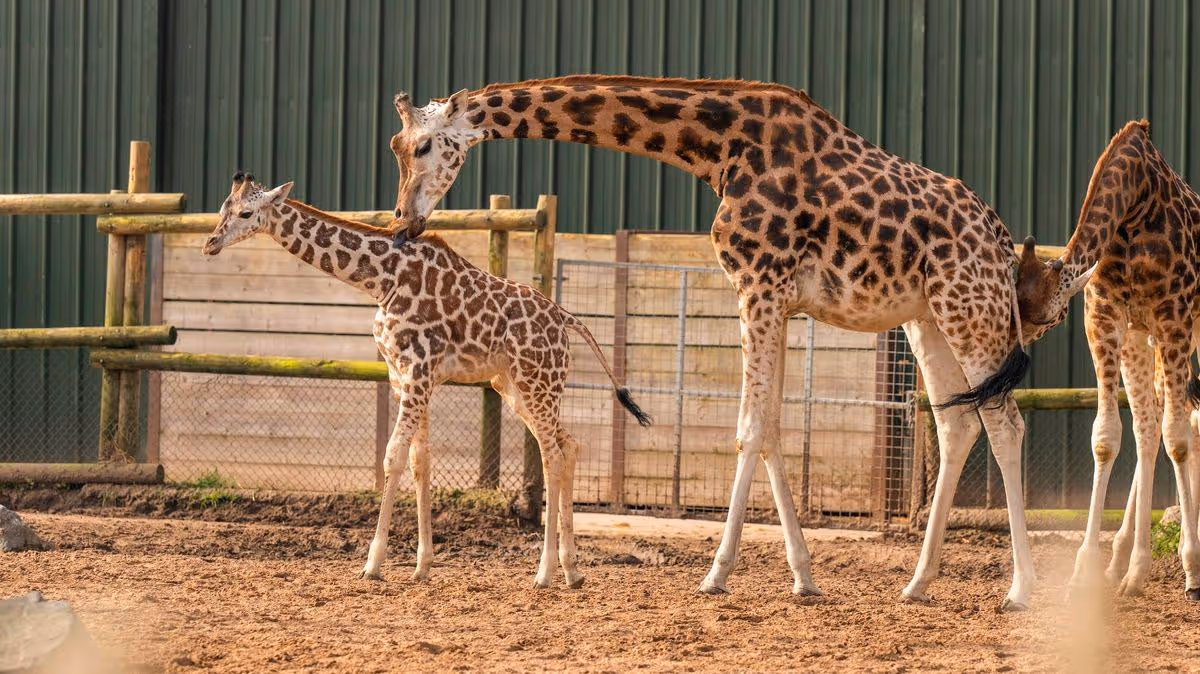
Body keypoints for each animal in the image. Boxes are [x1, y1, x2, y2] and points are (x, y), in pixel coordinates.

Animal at [201, 171, 652, 588]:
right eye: (222, 207)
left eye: (246, 213)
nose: (210, 244)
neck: (380, 280)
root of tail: (567, 319)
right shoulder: (403, 374)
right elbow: (421, 460)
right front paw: (421, 566)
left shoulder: (419, 369)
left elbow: (393, 456)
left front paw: (373, 564)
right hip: (514, 387)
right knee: (568, 445)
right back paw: (572, 571)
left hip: (537, 381)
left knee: (552, 454)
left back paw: (543, 574)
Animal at [386, 75, 1037, 609]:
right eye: (396, 146)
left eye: (424, 146)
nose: (402, 221)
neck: (720, 148)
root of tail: (1001, 240)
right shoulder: (775, 297)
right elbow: (771, 429)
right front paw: (803, 577)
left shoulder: (760, 285)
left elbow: (749, 430)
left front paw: (716, 574)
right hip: (928, 316)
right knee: (959, 421)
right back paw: (918, 582)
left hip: (970, 308)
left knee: (1006, 424)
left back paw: (1020, 590)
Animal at [1017, 120, 1200, 600]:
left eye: (1047, 317)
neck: (1136, 207)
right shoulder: (1112, 319)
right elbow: (1112, 435)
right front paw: (1092, 571)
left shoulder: (1172, 317)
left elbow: (1176, 438)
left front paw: (1191, 570)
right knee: (1155, 421)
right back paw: (1122, 563)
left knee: (1185, 422)